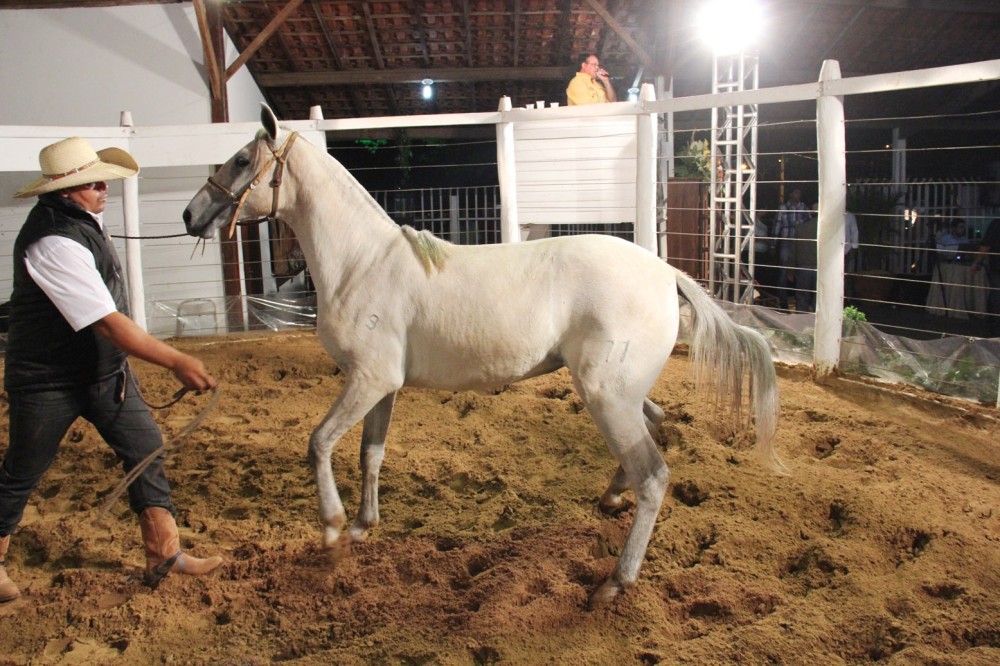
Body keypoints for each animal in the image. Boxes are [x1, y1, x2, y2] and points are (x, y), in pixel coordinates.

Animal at [182, 104, 786, 609]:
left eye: (242, 160)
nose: (191, 215)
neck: (362, 263)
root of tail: (666, 273)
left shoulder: (367, 379)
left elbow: (318, 443)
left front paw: (331, 529)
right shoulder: (381, 384)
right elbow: (369, 453)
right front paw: (361, 526)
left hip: (606, 396)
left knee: (654, 476)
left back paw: (614, 583)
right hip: (621, 394)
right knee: (655, 426)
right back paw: (611, 500)